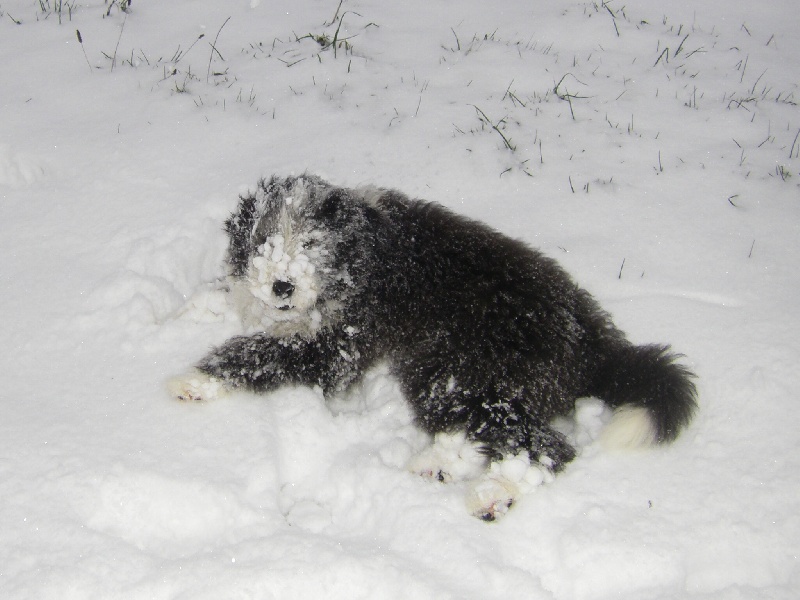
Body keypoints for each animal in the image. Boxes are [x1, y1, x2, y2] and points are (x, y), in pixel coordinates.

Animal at [169, 172, 692, 520]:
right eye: (264, 239)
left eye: (313, 243)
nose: (282, 286)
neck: (359, 253)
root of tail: (591, 340)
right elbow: (227, 299)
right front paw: (177, 315)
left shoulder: (340, 343)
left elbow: (259, 353)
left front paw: (191, 379)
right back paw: (438, 466)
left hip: (457, 362)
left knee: (544, 446)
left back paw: (492, 491)